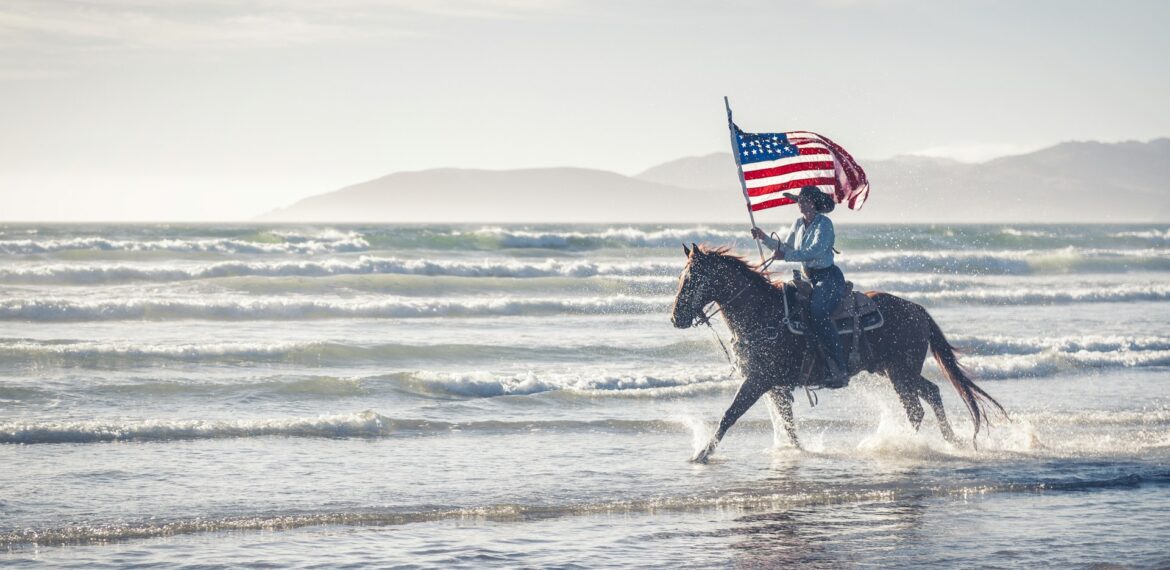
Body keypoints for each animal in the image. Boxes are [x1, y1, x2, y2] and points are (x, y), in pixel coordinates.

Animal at [673, 244, 1001, 463]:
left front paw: (702, 454)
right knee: (931, 393)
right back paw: (951, 441)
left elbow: (729, 415)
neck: (762, 314)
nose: (676, 317)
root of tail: (917, 309)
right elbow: (787, 424)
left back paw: (907, 445)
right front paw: (797, 451)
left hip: (900, 373)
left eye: (691, 279)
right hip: (896, 370)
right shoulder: (775, 386)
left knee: (916, 408)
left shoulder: (758, 380)